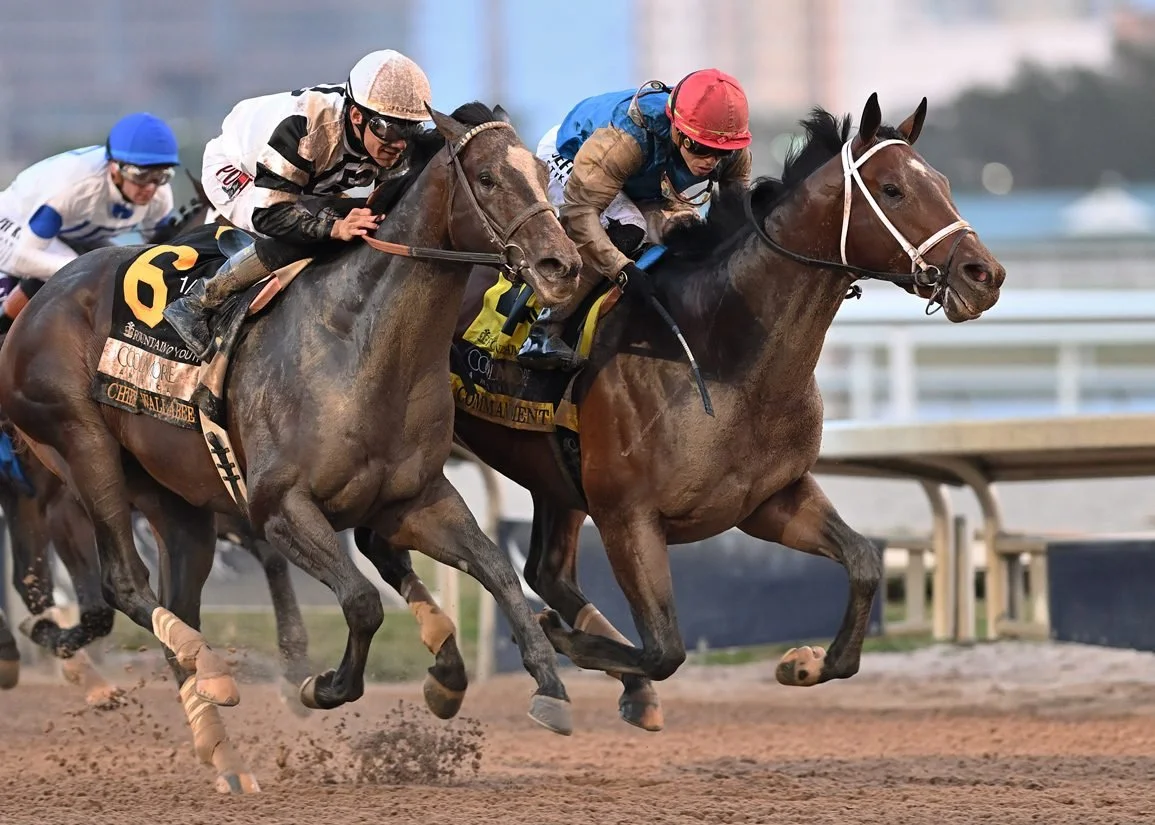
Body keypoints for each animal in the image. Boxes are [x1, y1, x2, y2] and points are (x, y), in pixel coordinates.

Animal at [0, 102, 582, 793]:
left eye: (541, 173)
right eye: (489, 178)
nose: (563, 266)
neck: (357, 341)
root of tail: (41, 301)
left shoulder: (414, 500)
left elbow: (498, 570)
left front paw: (546, 687)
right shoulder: (280, 508)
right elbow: (361, 602)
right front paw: (320, 685)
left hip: (176, 503)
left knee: (174, 601)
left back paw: (224, 753)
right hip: (80, 450)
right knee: (121, 582)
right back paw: (200, 670)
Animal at [443, 94, 1007, 730]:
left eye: (941, 182)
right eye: (892, 190)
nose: (984, 275)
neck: (720, 347)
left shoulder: (767, 500)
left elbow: (864, 561)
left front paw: (806, 663)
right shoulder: (627, 515)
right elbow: (665, 649)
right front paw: (559, 640)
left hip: (557, 480)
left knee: (549, 571)